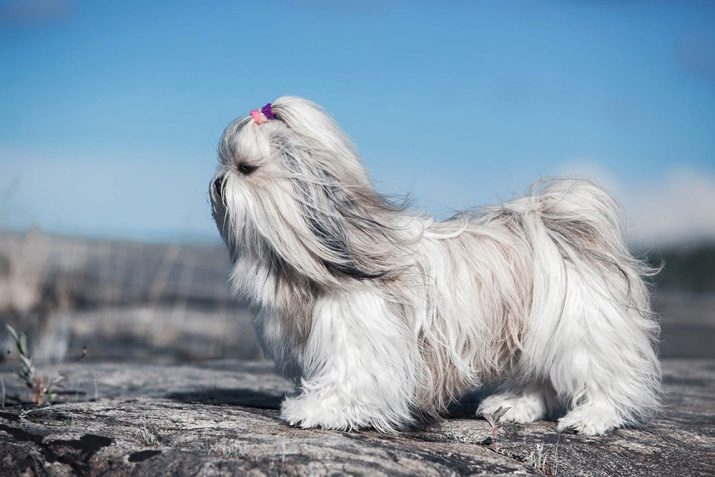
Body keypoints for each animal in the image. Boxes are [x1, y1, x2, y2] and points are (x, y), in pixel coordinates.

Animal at [210, 97, 664, 436]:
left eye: (245, 168)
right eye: (223, 162)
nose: (216, 183)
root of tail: (560, 227)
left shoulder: (360, 337)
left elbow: (348, 378)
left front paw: (317, 410)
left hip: (580, 328)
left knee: (605, 378)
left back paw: (591, 417)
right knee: (538, 378)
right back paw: (512, 406)